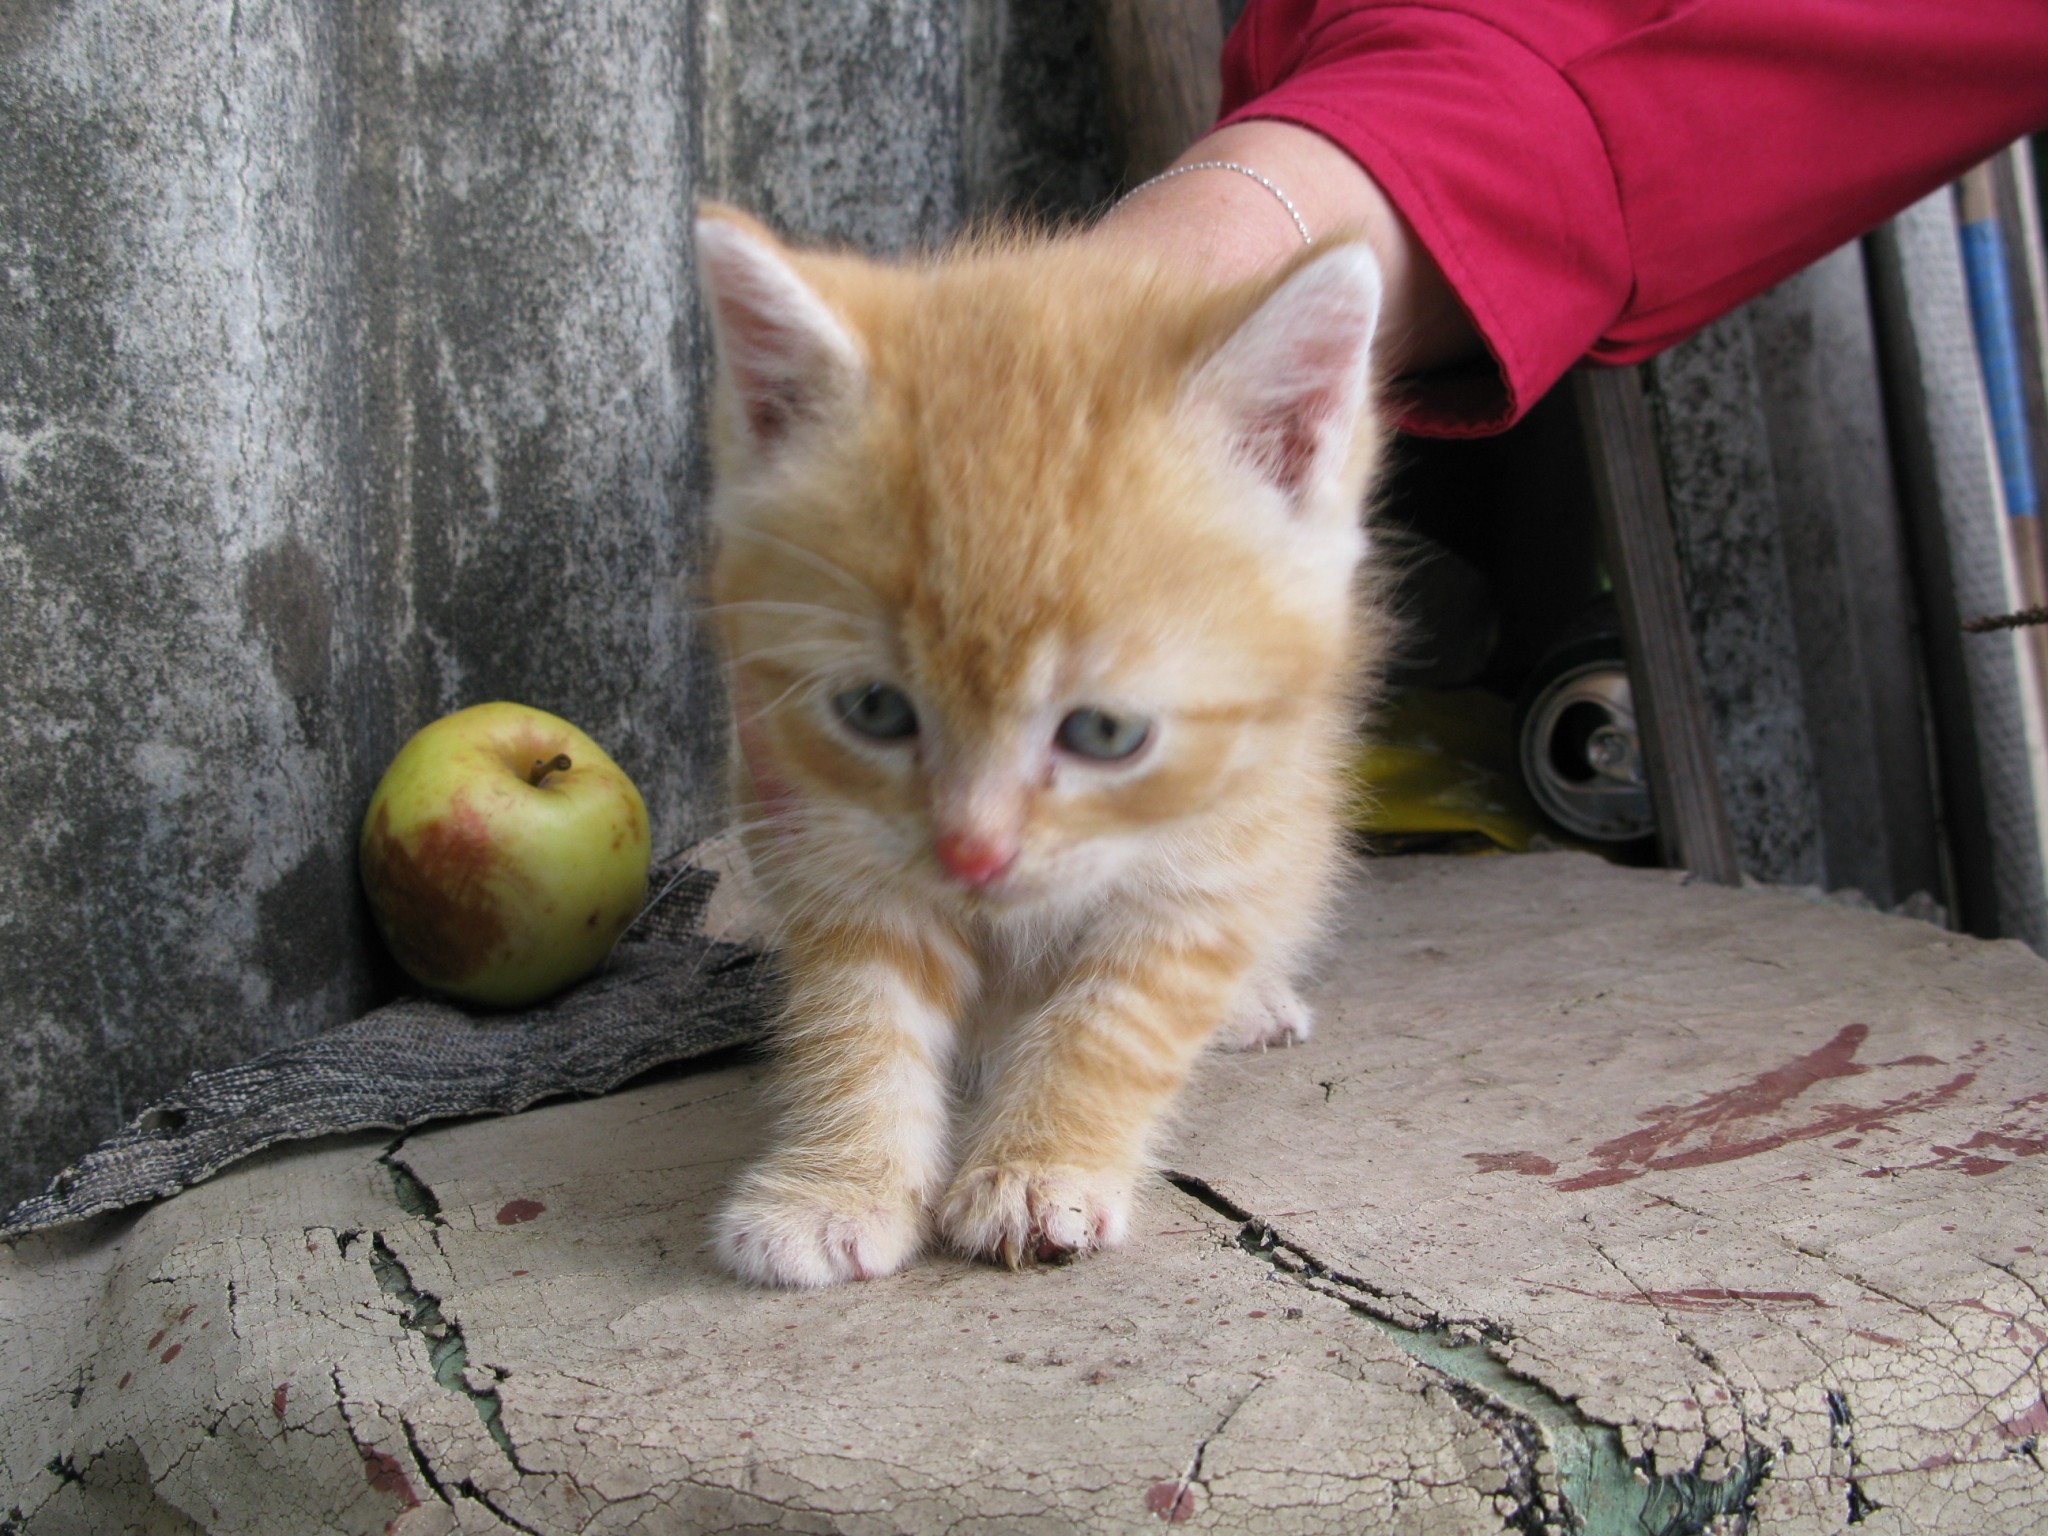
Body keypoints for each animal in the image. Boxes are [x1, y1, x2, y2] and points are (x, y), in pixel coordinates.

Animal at [696, 204, 1384, 1286]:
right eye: (875, 710)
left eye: (1105, 732)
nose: (973, 854)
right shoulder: (822, 828)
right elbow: (856, 1011)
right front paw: (832, 1186)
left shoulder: (1227, 843)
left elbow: (1116, 1020)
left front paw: (1037, 1169)